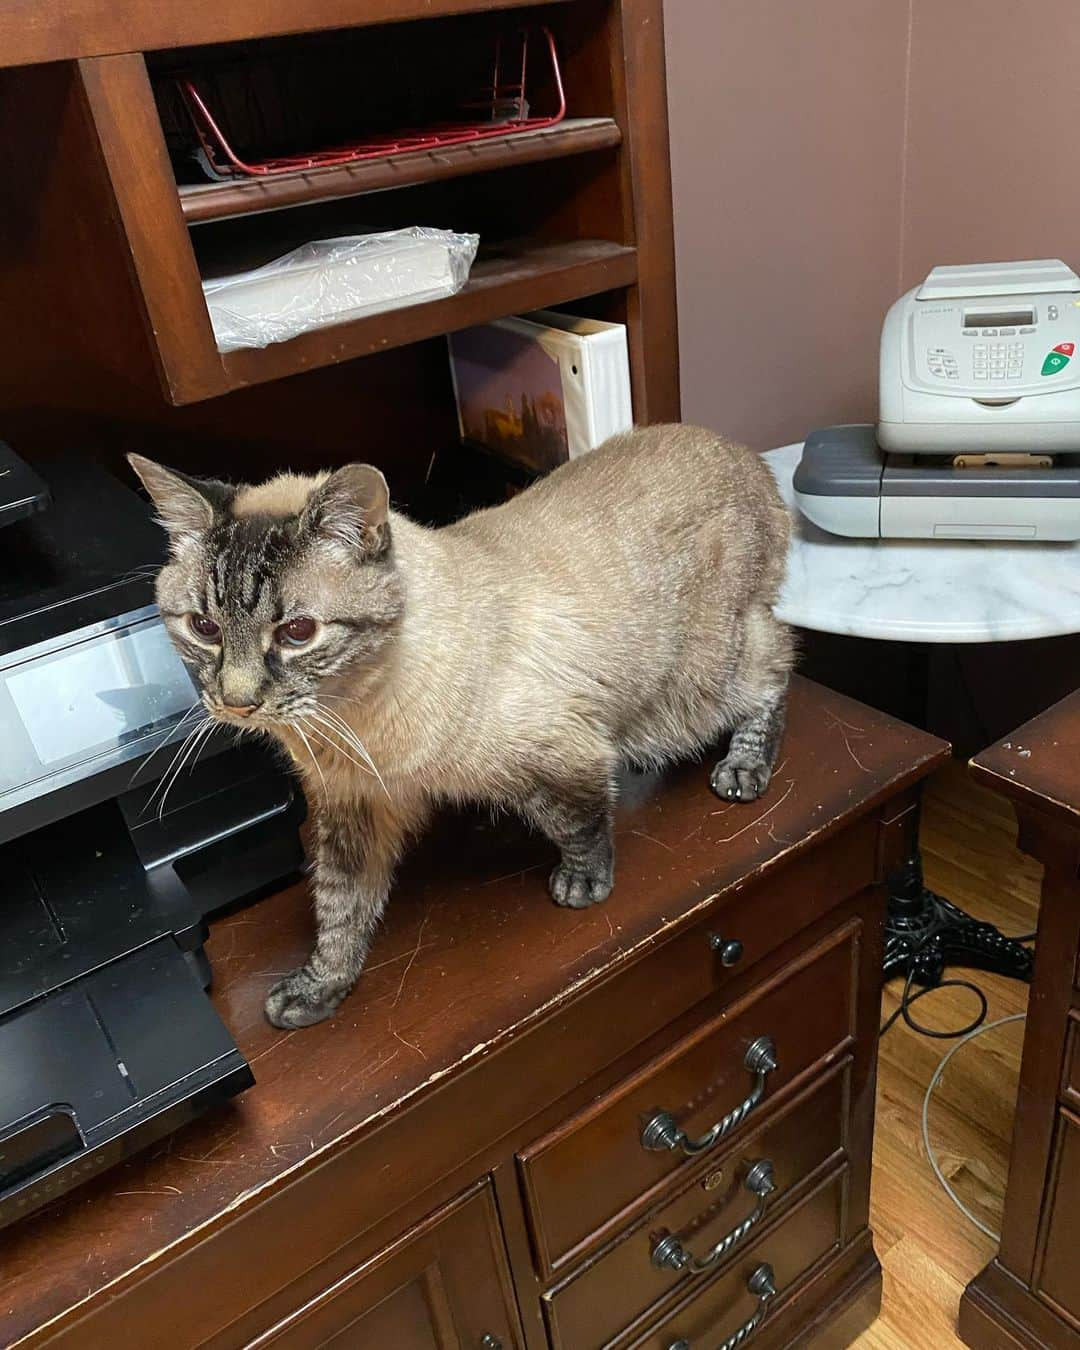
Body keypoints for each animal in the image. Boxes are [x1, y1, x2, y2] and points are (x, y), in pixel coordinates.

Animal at [132, 426, 793, 1026]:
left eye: (298, 633)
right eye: (203, 628)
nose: (236, 702)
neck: (349, 721)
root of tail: (743, 455)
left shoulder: (559, 756)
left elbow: (578, 822)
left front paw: (583, 885)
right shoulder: (353, 807)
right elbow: (340, 909)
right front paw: (318, 989)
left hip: (691, 691)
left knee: (776, 660)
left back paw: (742, 769)